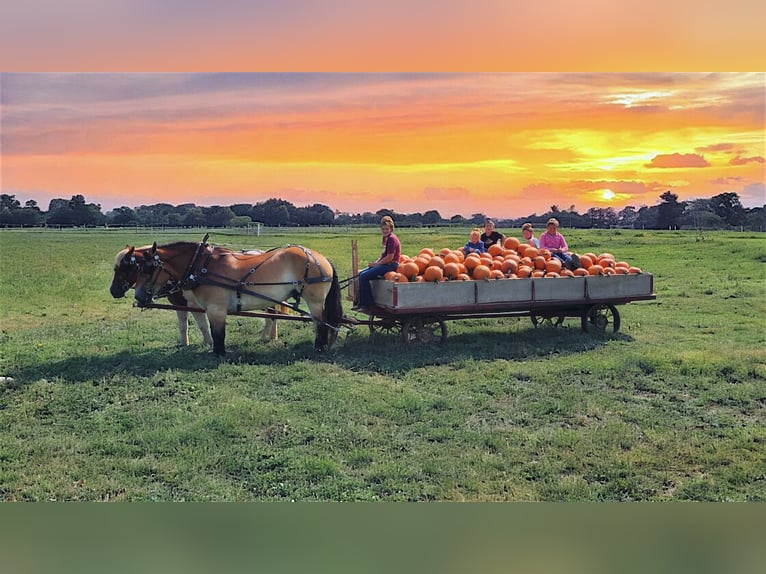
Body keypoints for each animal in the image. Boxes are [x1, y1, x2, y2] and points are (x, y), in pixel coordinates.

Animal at [111, 244, 282, 346]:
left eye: (125, 267)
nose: (113, 291)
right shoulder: (179, 304)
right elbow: (183, 325)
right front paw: (184, 343)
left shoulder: (194, 305)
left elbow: (202, 325)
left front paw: (209, 343)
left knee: (272, 314)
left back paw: (268, 336)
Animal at [130, 241, 340, 358]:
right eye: (137, 268)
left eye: (148, 268)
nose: (138, 296)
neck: (203, 266)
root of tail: (322, 259)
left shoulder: (216, 308)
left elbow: (218, 334)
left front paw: (219, 354)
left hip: (314, 301)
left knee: (320, 323)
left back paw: (319, 348)